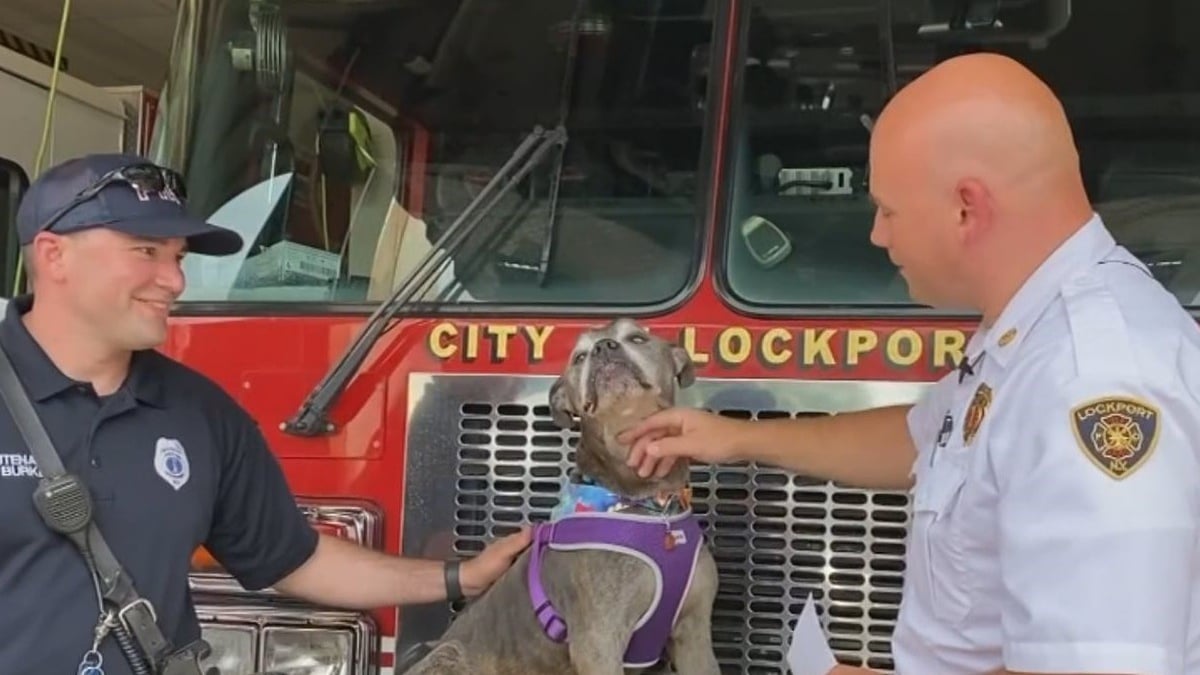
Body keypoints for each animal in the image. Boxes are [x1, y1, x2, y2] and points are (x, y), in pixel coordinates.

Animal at [403, 317, 720, 672]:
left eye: (638, 338)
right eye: (579, 357)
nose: (603, 347)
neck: (648, 501)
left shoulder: (695, 636)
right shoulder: (597, 643)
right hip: (450, 653)